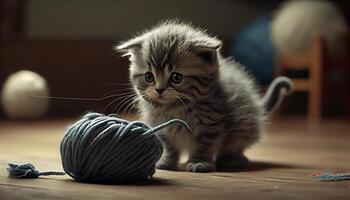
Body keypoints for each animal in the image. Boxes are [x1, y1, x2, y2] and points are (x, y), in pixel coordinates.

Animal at [115, 21, 292, 173]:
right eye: (149, 77)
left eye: (176, 77)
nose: (159, 89)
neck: (174, 107)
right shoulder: (160, 126)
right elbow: (168, 146)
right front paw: (166, 161)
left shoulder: (210, 124)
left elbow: (204, 145)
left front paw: (199, 162)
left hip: (244, 123)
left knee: (237, 142)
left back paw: (232, 159)